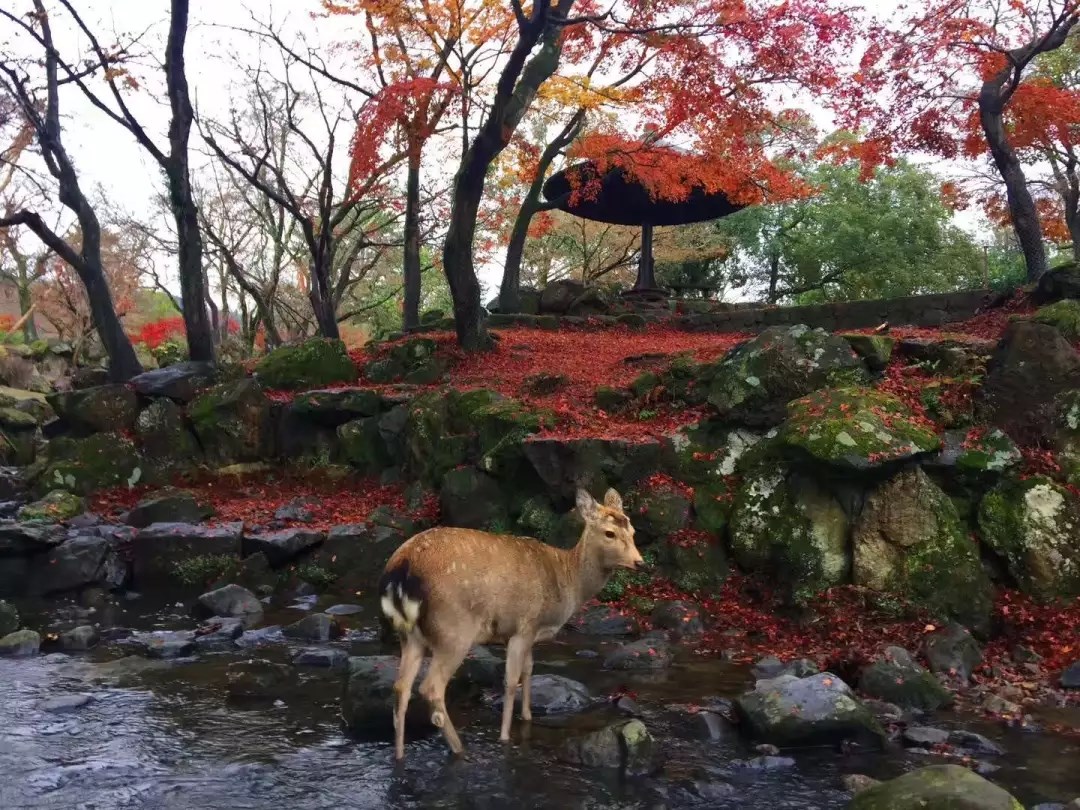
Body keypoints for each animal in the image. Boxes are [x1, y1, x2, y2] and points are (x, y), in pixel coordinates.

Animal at [380, 488, 643, 760]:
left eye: (633, 531)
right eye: (609, 533)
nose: (640, 562)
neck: (567, 582)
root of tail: (401, 568)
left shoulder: (528, 633)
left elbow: (528, 670)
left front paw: (527, 717)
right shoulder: (523, 626)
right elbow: (511, 680)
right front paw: (505, 737)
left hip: (410, 636)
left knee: (401, 688)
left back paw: (399, 755)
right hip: (453, 630)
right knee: (431, 687)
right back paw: (459, 748)